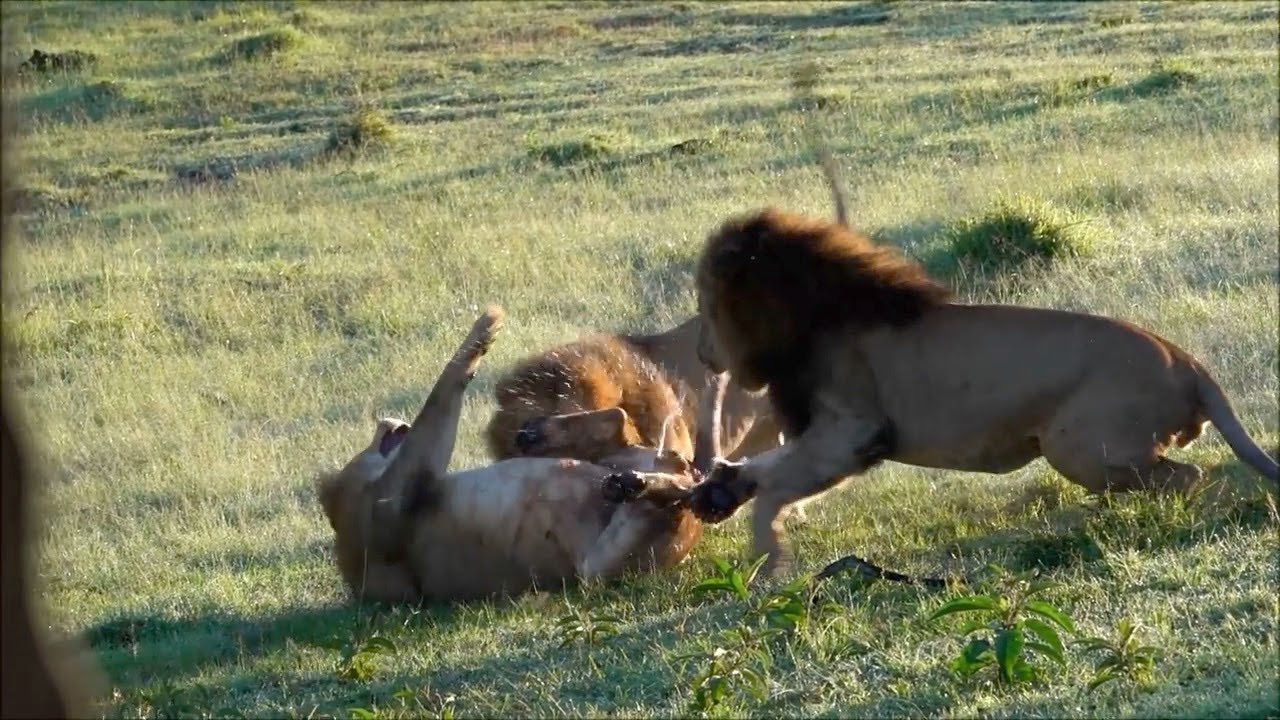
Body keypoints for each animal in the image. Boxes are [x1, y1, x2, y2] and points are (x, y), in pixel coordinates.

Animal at [316, 306, 728, 603]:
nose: (387, 422)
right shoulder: (392, 499)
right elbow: (439, 395)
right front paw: (484, 329)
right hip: (597, 565)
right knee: (664, 484)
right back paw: (628, 483)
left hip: (619, 464)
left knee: (624, 427)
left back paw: (543, 437)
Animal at [687, 207, 1280, 575]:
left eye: (708, 308)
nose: (701, 352)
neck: (814, 320)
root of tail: (1189, 362)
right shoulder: (838, 437)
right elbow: (769, 469)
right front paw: (719, 491)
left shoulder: (853, 431)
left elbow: (775, 489)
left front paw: (770, 563)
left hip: (1076, 445)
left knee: (1189, 476)